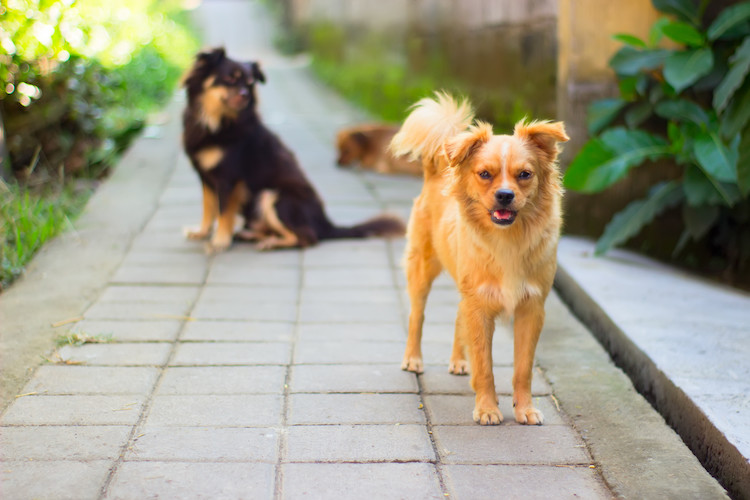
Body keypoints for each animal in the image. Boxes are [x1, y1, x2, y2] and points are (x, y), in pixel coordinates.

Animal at [394, 93, 568, 426]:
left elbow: (523, 368)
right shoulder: (479, 305)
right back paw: (413, 359)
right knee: (416, 315)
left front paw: (524, 409)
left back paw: (459, 362)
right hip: (422, 270)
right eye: (485, 174)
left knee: (457, 317)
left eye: (525, 175)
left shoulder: (530, 308)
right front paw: (487, 408)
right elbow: (485, 365)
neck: (508, 238)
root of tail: (436, 170)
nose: (504, 195)